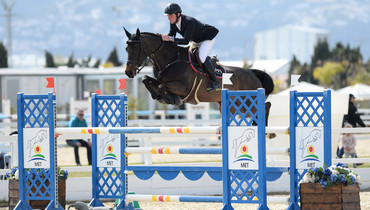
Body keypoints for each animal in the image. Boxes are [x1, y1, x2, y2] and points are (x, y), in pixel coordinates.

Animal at [124, 27, 274, 126]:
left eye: (136, 48)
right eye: (126, 49)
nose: (128, 72)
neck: (171, 60)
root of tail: (252, 73)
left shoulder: (183, 87)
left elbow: (162, 87)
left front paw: (171, 99)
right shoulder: (160, 80)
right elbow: (147, 80)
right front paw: (163, 97)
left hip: (248, 100)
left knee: (265, 106)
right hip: (235, 104)